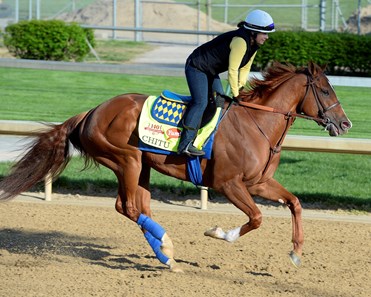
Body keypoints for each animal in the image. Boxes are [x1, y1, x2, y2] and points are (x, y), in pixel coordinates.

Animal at [0, 61, 352, 270]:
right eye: (325, 90)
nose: (345, 123)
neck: (257, 124)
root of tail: (90, 113)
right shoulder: (228, 184)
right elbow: (256, 217)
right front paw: (218, 232)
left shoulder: (258, 183)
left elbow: (295, 202)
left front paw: (296, 252)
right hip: (126, 159)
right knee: (129, 207)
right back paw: (167, 245)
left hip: (140, 166)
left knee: (137, 207)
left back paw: (166, 256)